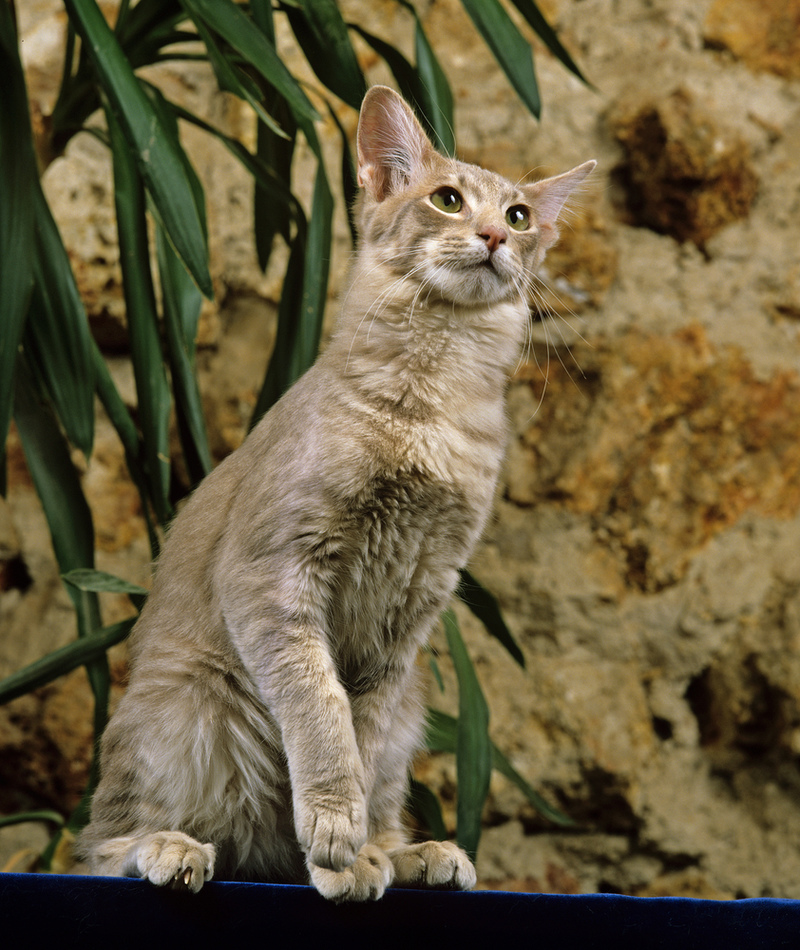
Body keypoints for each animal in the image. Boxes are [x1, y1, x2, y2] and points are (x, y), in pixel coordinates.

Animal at [78, 85, 592, 904]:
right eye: (448, 199)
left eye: (519, 216)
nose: (492, 236)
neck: (427, 409)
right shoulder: (276, 572)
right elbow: (322, 714)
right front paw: (334, 837)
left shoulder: (410, 611)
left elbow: (363, 735)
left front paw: (355, 856)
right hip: (185, 706)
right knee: (100, 844)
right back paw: (171, 849)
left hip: (412, 710)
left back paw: (412, 854)